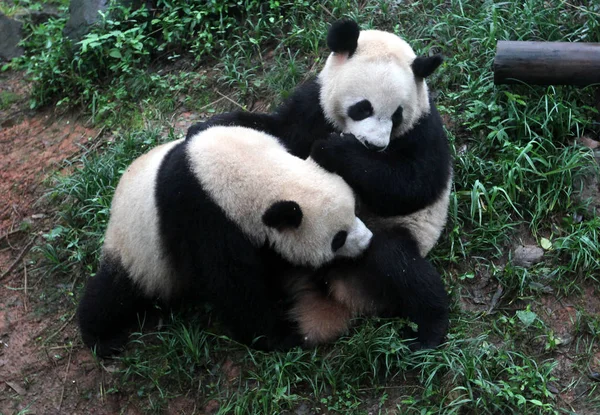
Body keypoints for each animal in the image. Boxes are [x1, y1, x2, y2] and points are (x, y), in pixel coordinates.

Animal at [77, 125, 372, 356]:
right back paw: (100, 337)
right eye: (338, 238)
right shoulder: (202, 216)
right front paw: (281, 335)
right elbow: (232, 285)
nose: (367, 241)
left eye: (356, 208)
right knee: (114, 293)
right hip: (138, 249)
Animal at [185, 20, 452, 352]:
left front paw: (333, 150)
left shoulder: (423, 128)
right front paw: (204, 127)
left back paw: (429, 330)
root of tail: (332, 282)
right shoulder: (313, 104)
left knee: (399, 264)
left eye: (397, 115)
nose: (375, 145)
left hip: (394, 236)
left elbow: (413, 185)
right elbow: (279, 129)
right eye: (363, 108)